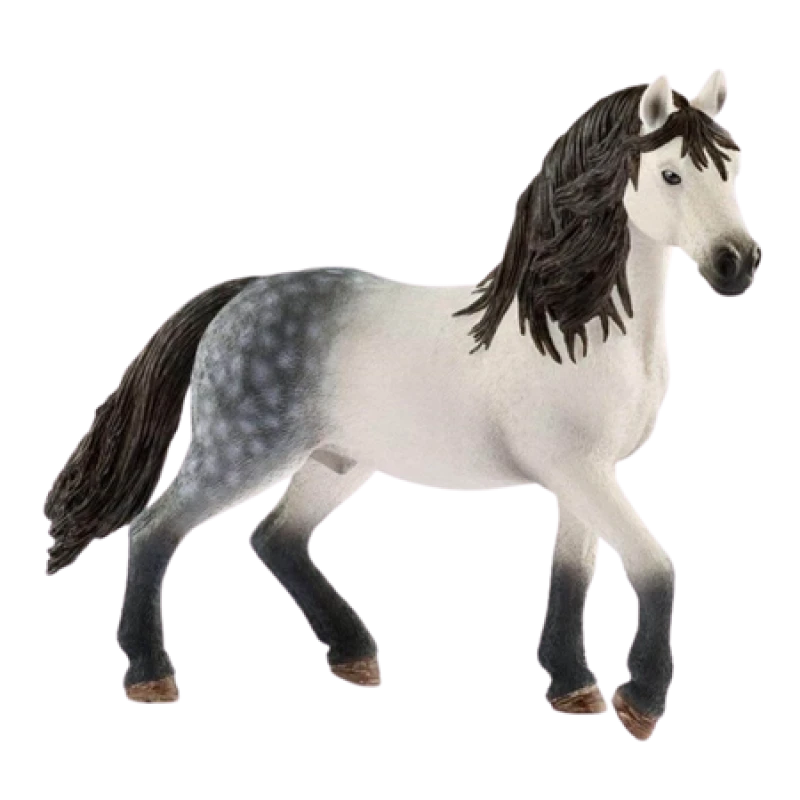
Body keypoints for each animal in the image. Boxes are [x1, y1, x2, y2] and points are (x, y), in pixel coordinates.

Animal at [43, 70, 759, 738]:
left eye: (733, 168)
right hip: (239, 454)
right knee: (152, 531)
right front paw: (637, 706)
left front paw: (574, 693)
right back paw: (150, 681)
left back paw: (355, 659)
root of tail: (238, 297)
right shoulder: (578, 470)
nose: (737, 265)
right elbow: (656, 568)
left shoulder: (585, 475)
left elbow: (570, 571)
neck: (568, 328)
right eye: (670, 174)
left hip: (338, 460)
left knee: (275, 535)